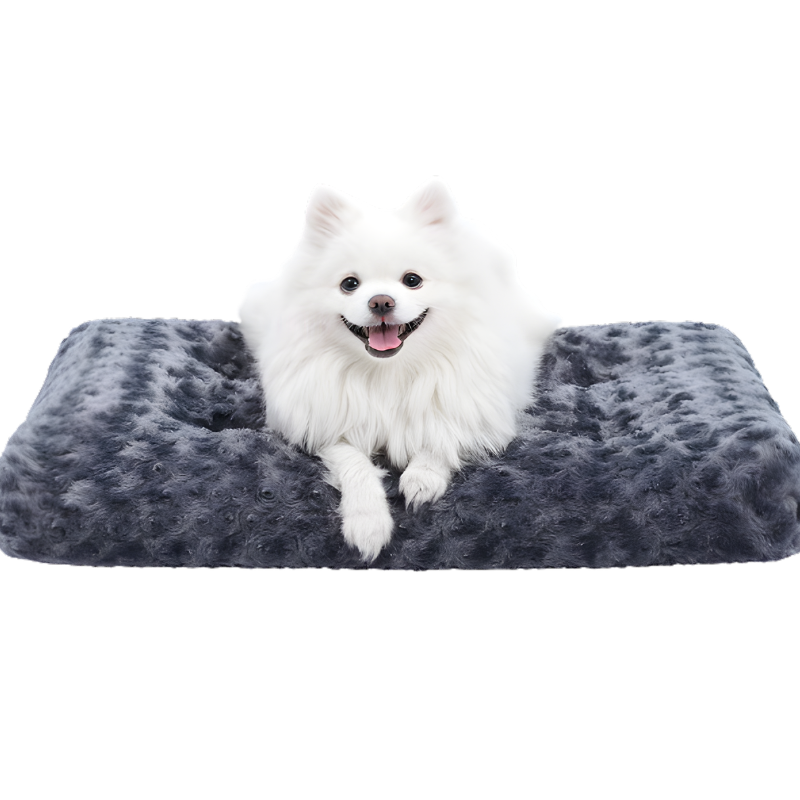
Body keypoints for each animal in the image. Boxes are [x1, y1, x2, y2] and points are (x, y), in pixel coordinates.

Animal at [239, 182, 553, 561]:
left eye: (412, 280)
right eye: (349, 284)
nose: (381, 301)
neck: (388, 372)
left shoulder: (467, 409)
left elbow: (441, 436)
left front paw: (422, 478)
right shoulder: (328, 425)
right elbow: (355, 464)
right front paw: (368, 523)